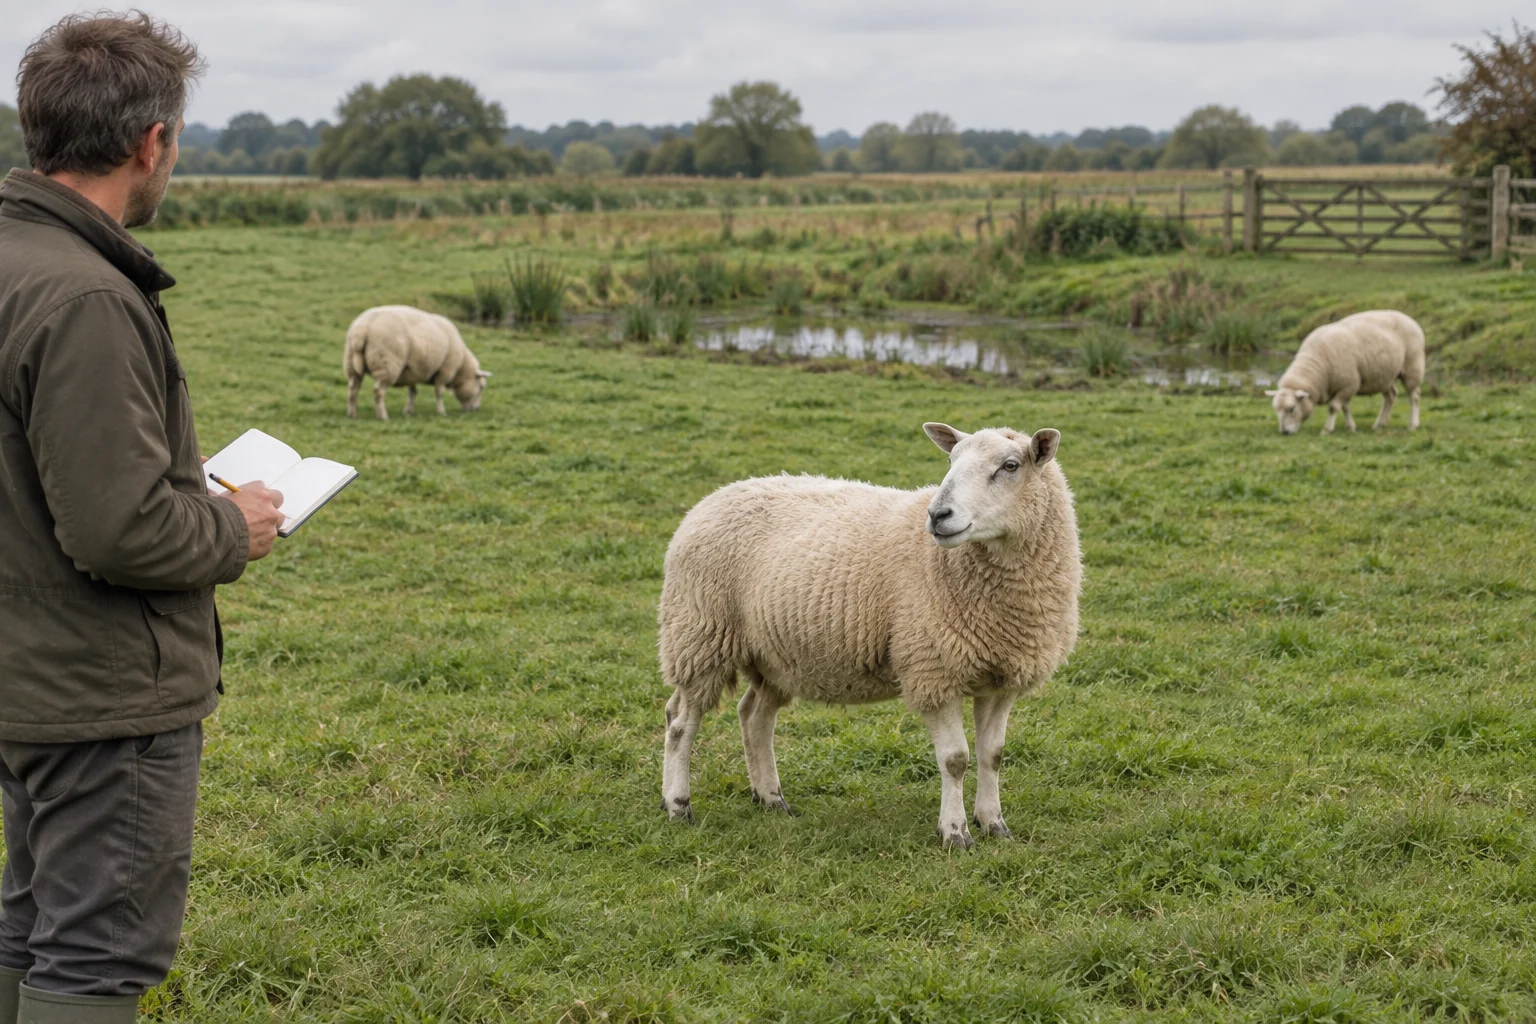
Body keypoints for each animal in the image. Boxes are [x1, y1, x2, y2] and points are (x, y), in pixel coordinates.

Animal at [344, 305, 491, 421]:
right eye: (481, 387)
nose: (476, 409)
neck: (461, 367)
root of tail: (364, 327)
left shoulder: (412, 371)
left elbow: (413, 392)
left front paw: (408, 411)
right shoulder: (445, 370)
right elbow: (439, 392)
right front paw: (441, 412)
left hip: (351, 363)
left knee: (353, 389)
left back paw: (352, 414)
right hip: (387, 364)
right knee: (378, 391)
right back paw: (383, 416)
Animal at [657, 422, 1081, 849]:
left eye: (1010, 466)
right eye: (950, 460)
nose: (938, 515)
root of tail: (713, 498)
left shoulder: (1003, 677)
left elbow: (992, 755)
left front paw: (993, 823)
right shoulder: (932, 670)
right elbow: (955, 760)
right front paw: (955, 831)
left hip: (774, 655)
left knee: (754, 717)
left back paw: (771, 798)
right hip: (699, 635)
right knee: (680, 721)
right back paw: (678, 805)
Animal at [1266, 310, 1425, 435]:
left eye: (1292, 408)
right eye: (1276, 410)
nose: (1284, 432)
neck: (1318, 367)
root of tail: (1408, 318)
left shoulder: (1349, 384)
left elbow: (1334, 407)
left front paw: (1327, 430)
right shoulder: (1345, 387)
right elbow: (1345, 407)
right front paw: (1351, 427)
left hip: (1412, 368)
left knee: (1414, 396)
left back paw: (1413, 425)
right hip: (1384, 375)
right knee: (1391, 396)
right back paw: (1379, 424)